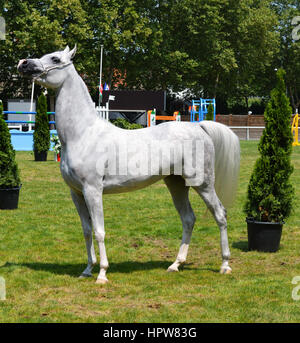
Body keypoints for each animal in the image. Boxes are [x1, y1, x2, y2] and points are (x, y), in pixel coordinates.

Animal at [18, 47, 239, 286]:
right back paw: (175, 265)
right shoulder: (76, 193)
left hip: (203, 183)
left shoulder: (93, 190)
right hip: (176, 184)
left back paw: (225, 265)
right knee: (188, 219)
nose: (23, 63)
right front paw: (87, 270)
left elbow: (99, 231)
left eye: (55, 58)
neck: (83, 134)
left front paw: (102, 274)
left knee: (220, 214)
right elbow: (86, 230)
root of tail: (199, 127)